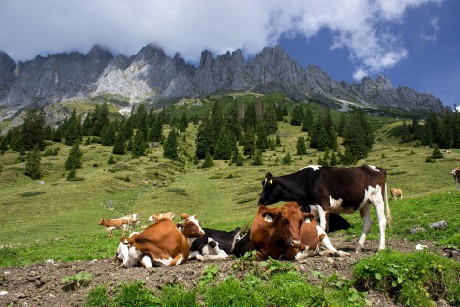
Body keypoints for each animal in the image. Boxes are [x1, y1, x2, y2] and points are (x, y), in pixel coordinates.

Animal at [256, 166, 390, 253]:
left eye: (267, 186)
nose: (259, 202)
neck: (306, 181)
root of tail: (378, 169)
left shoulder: (324, 206)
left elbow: (324, 228)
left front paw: (321, 247)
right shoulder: (310, 209)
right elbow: (313, 228)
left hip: (378, 199)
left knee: (382, 222)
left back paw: (381, 248)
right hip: (365, 203)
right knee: (367, 223)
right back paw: (358, 247)